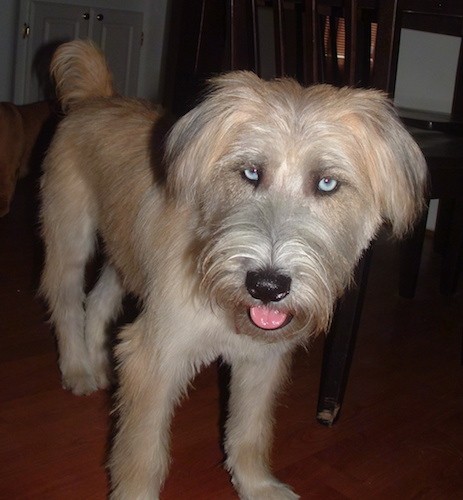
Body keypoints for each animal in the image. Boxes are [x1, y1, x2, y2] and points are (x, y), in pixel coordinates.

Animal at [40, 41, 428, 498]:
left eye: (327, 183)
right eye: (250, 172)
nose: (267, 286)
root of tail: (97, 98)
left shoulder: (262, 360)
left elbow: (249, 433)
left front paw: (258, 486)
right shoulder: (155, 356)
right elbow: (141, 454)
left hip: (124, 255)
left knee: (99, 301)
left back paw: (98, 364)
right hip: (70, 239)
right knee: (67, 302)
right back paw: (79, 368)